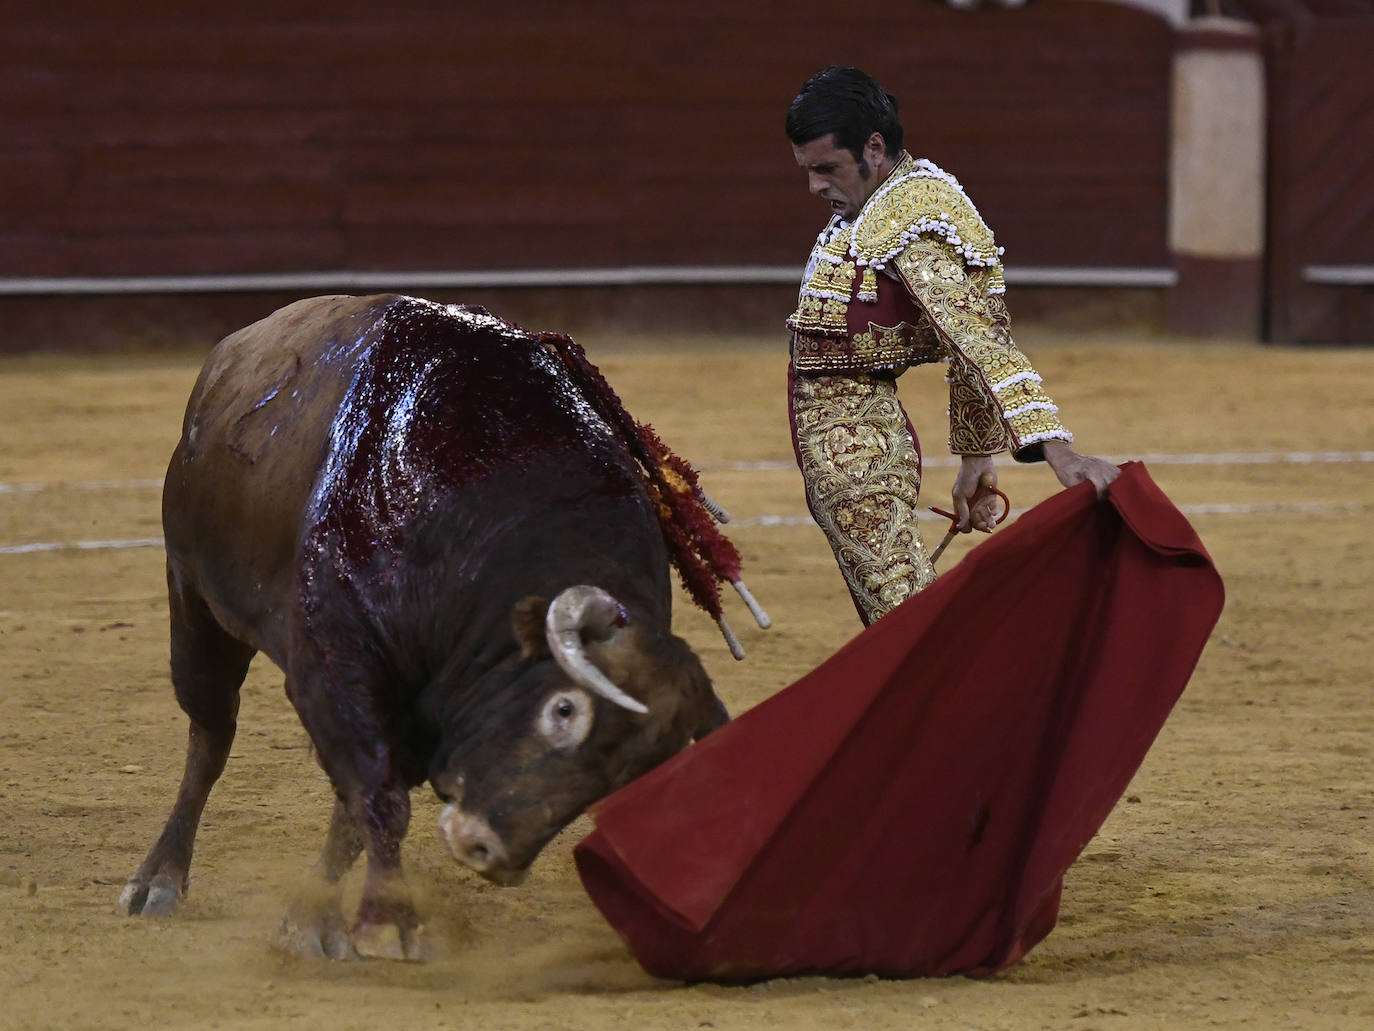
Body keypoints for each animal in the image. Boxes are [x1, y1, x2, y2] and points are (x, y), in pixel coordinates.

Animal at [116, 294, 763, 967]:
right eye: (563, 710)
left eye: (621, 776)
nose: (490, 853)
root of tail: (233, 349)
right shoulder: (334, 671)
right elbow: (377, 797)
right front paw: (389, 921)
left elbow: (358, 807)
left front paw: (315, 918)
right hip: (193, 599)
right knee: (211, 735)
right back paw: (159, 880)